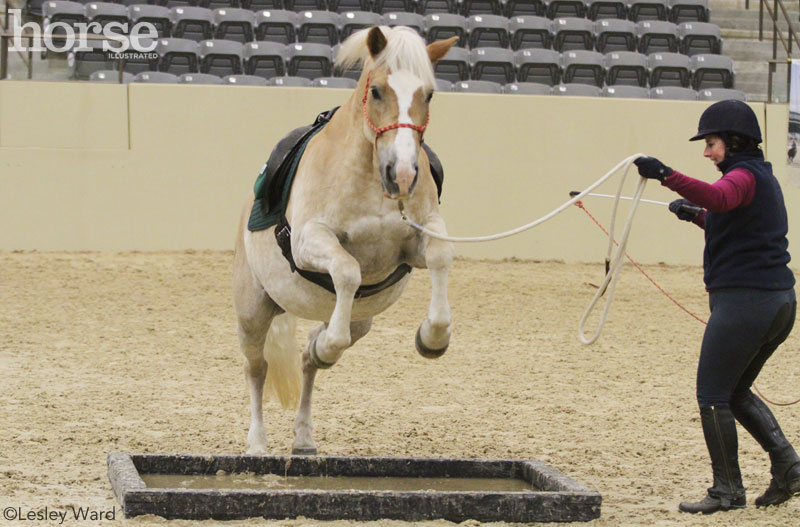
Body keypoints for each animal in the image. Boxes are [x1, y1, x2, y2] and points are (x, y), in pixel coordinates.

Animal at [233, 25, 456, 454]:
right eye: (378, 91)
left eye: (429, 94)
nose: (402, 175)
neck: (369, 176)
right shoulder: (309, 242)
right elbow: (348, 269)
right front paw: (328, 344)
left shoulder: (418, 240)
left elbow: (440, 255)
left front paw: (432, 338)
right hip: (252, 311)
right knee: (257, 368)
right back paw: (256, 442)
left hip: (361, 319)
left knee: (307, 360)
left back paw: (304, 434)